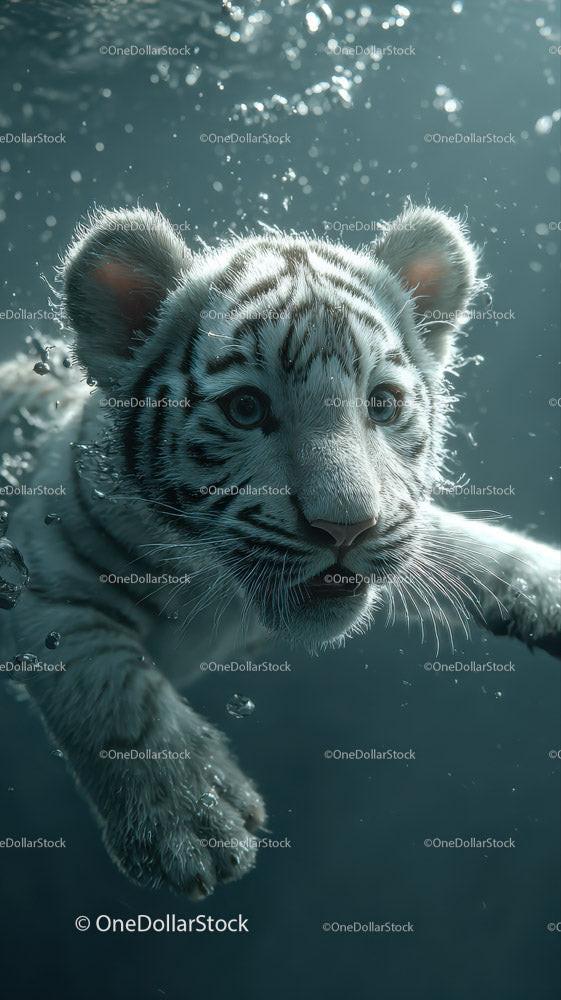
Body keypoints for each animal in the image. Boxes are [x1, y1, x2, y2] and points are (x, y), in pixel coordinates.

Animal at [0, 204, 559, 899]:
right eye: (246, 408)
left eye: (383, 404)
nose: (347, 528)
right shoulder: (39, 568)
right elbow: (107, 680)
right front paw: (192, 814)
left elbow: (465, 544)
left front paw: (544, 581)